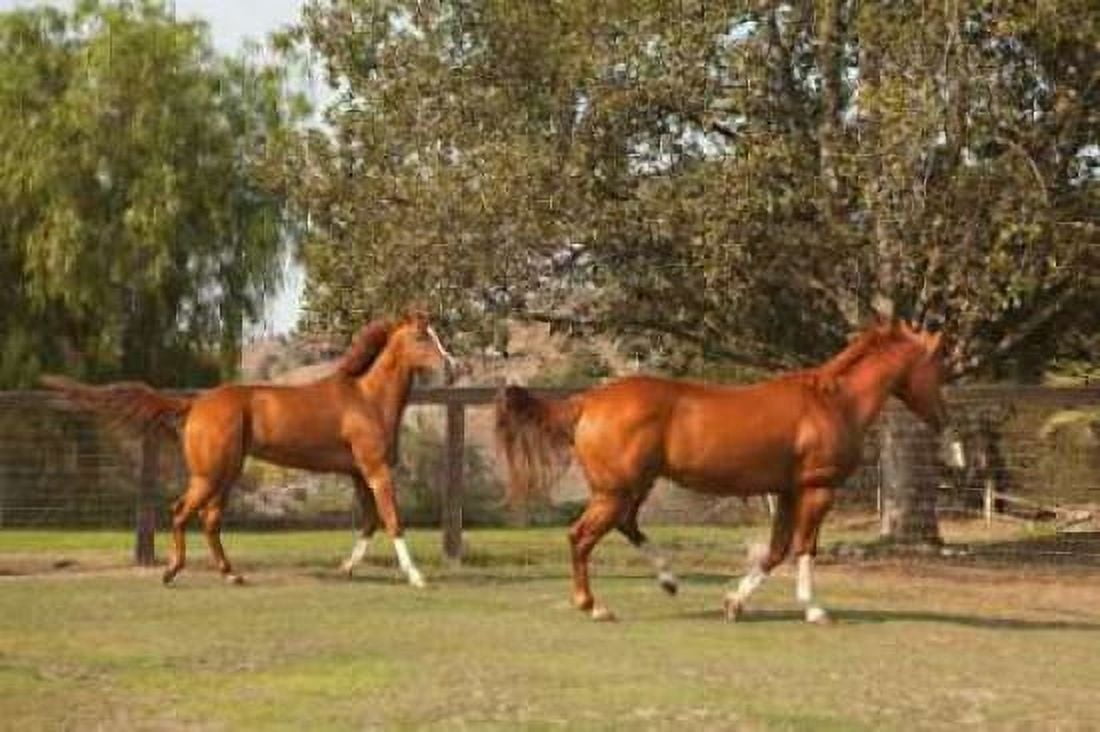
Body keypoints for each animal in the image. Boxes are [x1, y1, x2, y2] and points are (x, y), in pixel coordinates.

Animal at [42, 310, 459, 587]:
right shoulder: (375, 469)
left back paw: (231, 575)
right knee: (181, 512)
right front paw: (417, 577)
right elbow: (392, 519)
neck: (366, 398)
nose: (453, 367)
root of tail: (194, 404)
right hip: (210, 474)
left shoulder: (358, 473)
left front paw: (345, 568)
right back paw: (172, 571)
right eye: (422, 337)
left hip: (228, 474)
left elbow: (371, 520)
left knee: (209, 520)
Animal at [495, 317, 966, 622]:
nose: (945, 420)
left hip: (632, 488)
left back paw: (669, 580)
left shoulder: (787, 491)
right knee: (581, 537)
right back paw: (595, 606)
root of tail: (588, 401)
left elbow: (775, 551)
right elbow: (804, 547)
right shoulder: (817, 489)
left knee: (626, 526)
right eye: (938, 366)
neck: (833, 402)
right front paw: (814, 608)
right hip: (615, 491)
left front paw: (734, 603)